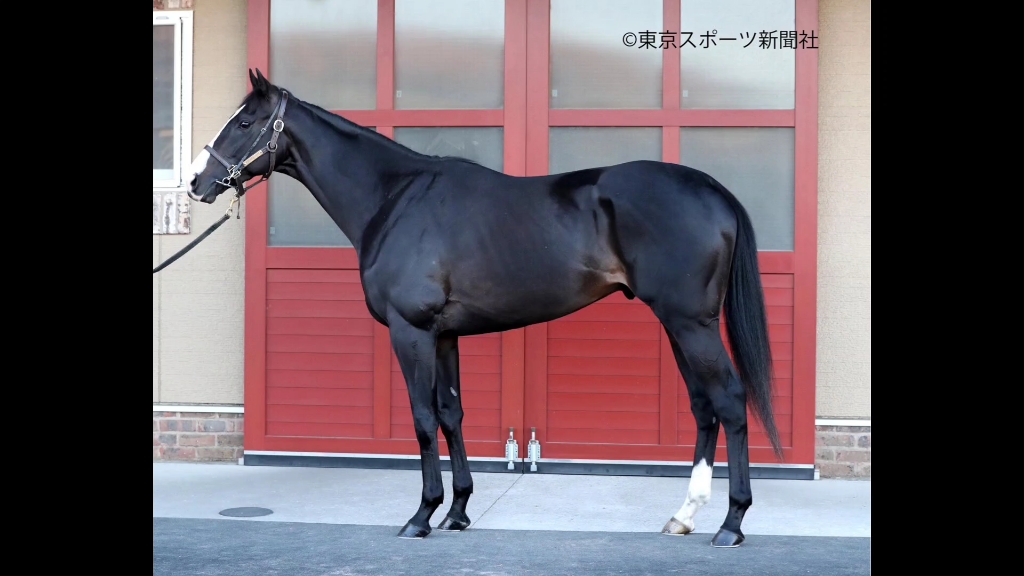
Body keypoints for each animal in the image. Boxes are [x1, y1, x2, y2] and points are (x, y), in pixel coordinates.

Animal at [187, 69, 783, 548]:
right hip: (680, 325)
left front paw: (421, 516)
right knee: (705, 408)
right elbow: (451, 415)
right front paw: (457, 511)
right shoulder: (444, 335)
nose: (196, 182)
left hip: (691, 324)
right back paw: (684, 516)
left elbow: (423, 419)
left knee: (730, 403)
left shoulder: (411, 331)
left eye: (245, 122)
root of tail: (712, 189)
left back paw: (731, 524)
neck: (396, 198)